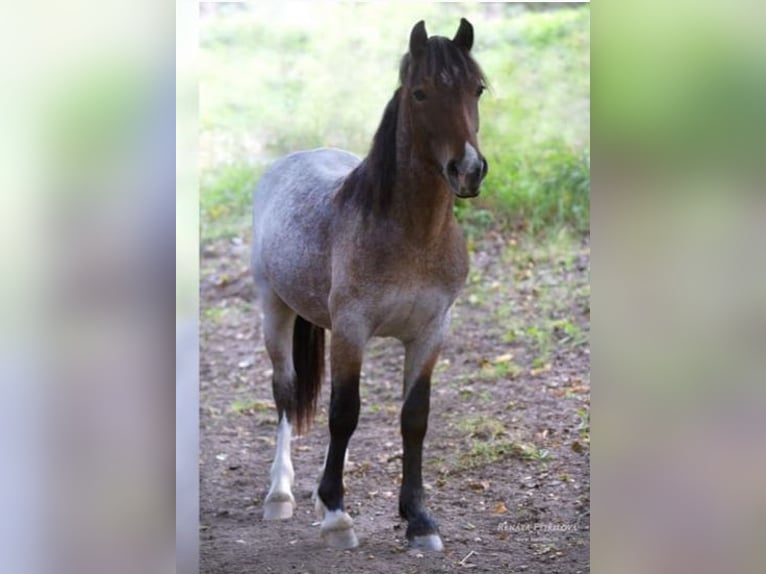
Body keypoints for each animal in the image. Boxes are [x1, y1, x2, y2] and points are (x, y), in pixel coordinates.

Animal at [254, 15, 492, 552]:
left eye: (478, 89)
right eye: (421, 93)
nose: (468, 170)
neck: (412, 234)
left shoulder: (431, 331)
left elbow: (414, 418)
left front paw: (419, 520)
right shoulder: (352, 330)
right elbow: (345, 412)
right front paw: (337, 515)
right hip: (274, 308)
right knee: (285, 391)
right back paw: (281, 493)